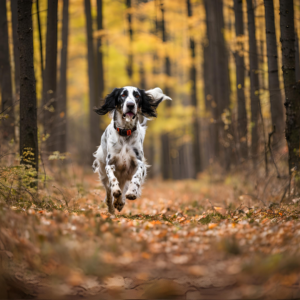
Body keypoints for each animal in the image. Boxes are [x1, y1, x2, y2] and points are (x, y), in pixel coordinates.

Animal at [91, 85, 171, 214]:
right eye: (123, 95)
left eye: (137, 95)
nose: (130, 105)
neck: (125, 132)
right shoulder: (110, 163)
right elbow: (112, 178)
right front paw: (115, 191)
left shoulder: (138, 163)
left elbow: (136, 177)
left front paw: (132, 192)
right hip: (102, 171)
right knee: (108, 189)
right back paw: (112, 205)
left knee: (125, 186)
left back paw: (120, 201)